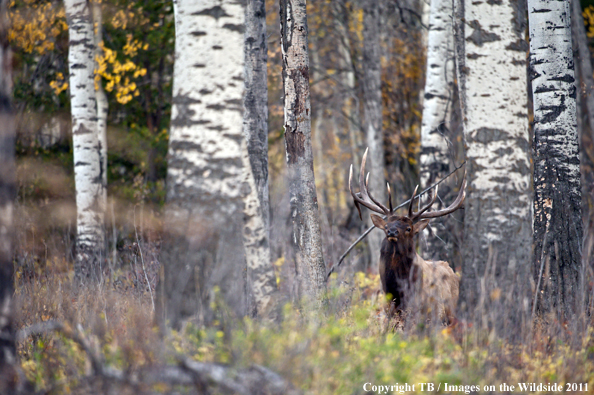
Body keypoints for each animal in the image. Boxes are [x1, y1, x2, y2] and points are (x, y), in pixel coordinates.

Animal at [350, 148, 464, 324]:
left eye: (409, 228)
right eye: (386, 226)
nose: (392, 232)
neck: (397, 290)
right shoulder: (388, 309)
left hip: (450, 314)